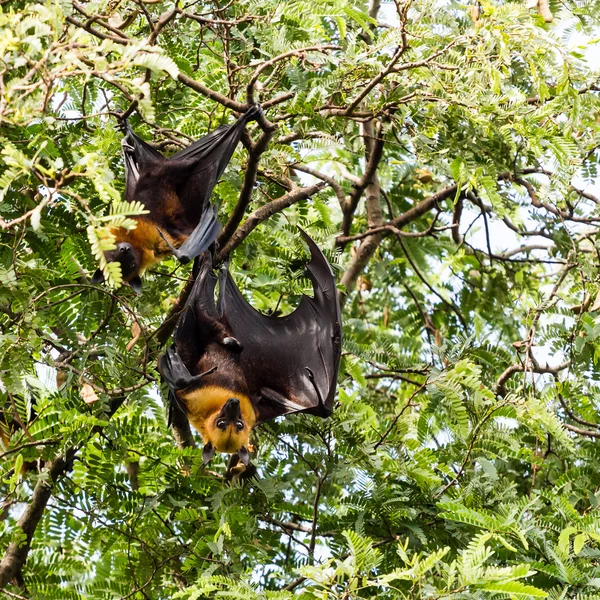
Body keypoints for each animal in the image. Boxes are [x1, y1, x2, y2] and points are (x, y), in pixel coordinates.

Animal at [91, 108, 262, 296]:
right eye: (128, 264)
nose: (125, 249)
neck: (135, 242)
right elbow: (184, 254)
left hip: (169, 168)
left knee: (194, 161)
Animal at [158, 230, 342, 468]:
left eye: (239, 425)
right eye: (222, 423)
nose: (234, 403)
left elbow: (321, 409)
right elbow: (180, 382)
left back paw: (217, 265)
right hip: (198, 325)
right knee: (199, 309)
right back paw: (210, 262)